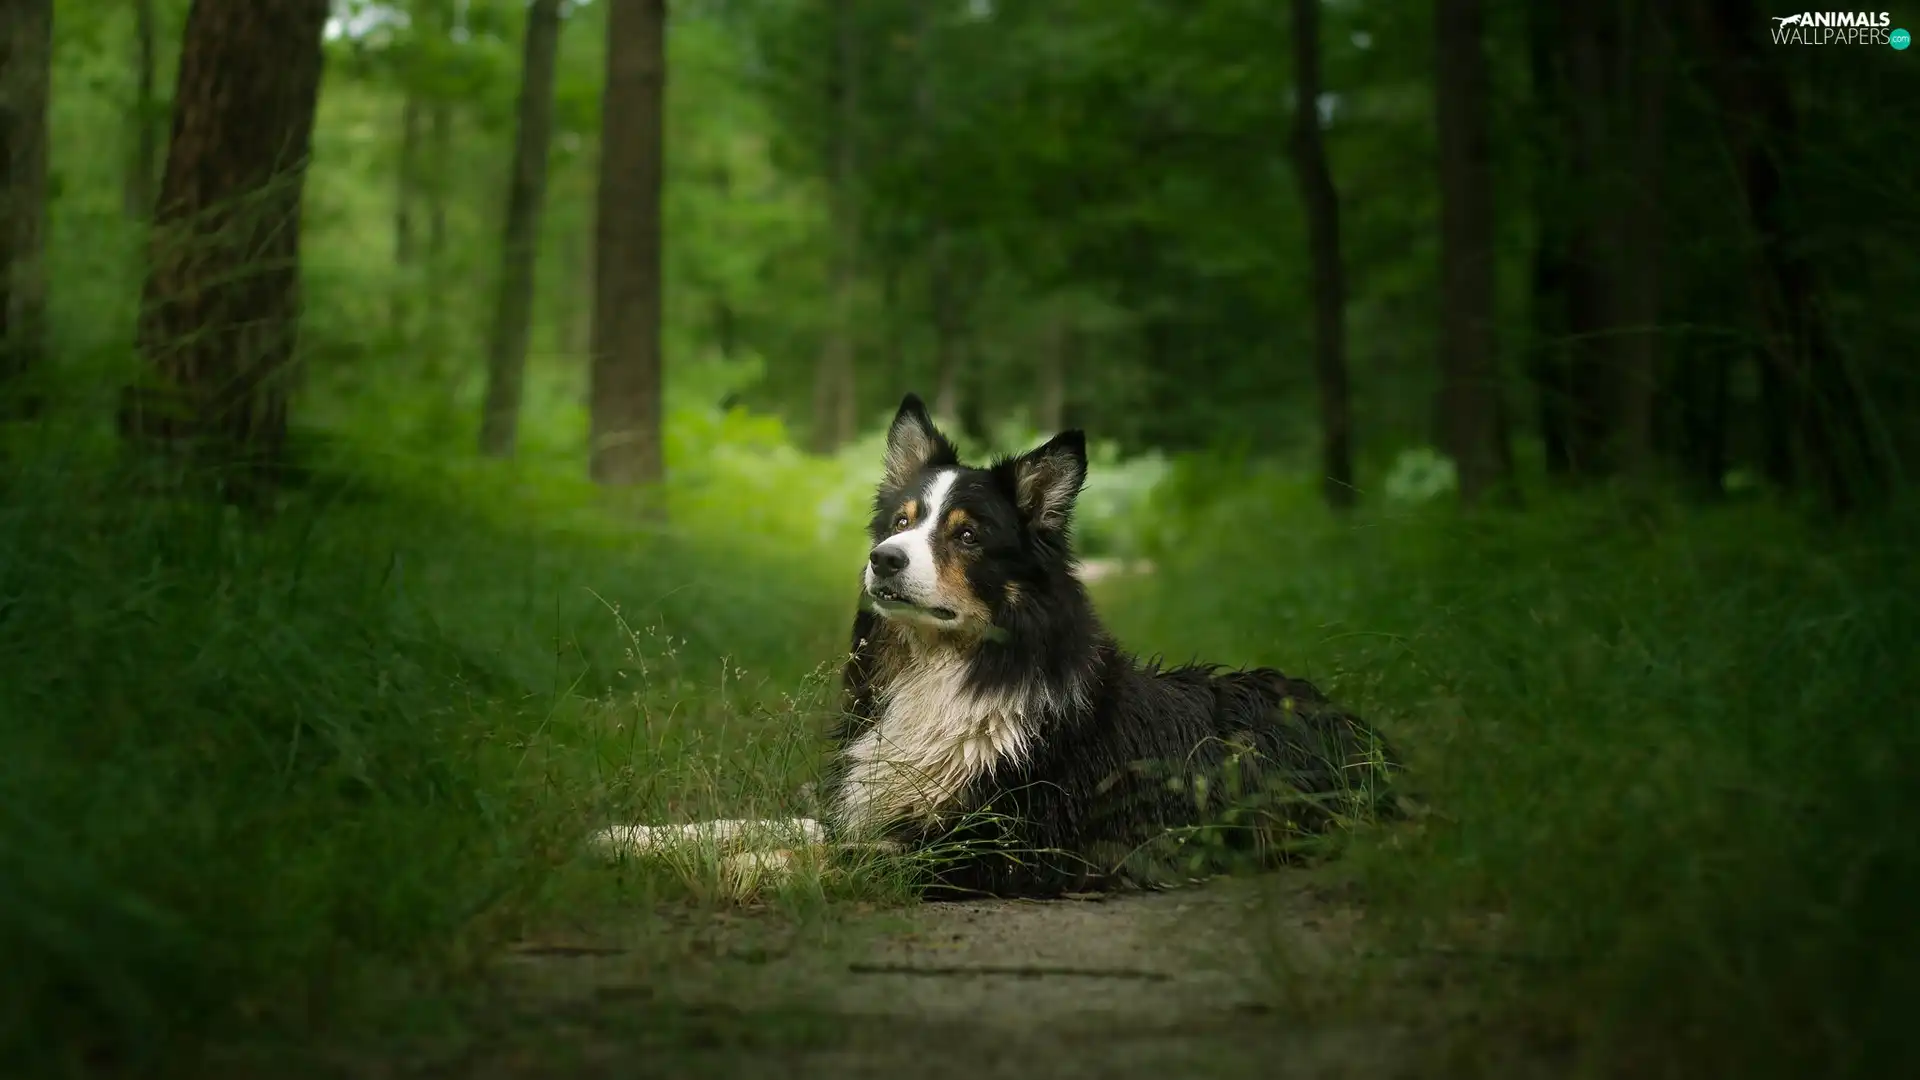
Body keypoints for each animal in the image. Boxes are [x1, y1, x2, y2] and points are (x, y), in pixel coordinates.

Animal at [591, 393, 1405, 891]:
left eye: (968, 536)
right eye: (900, 523)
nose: (883, 561)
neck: (949, 672)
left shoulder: (992, 848)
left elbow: (824, 855)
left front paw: (730, 871)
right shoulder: (877, 805)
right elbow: (772, 823)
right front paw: (632, 837)